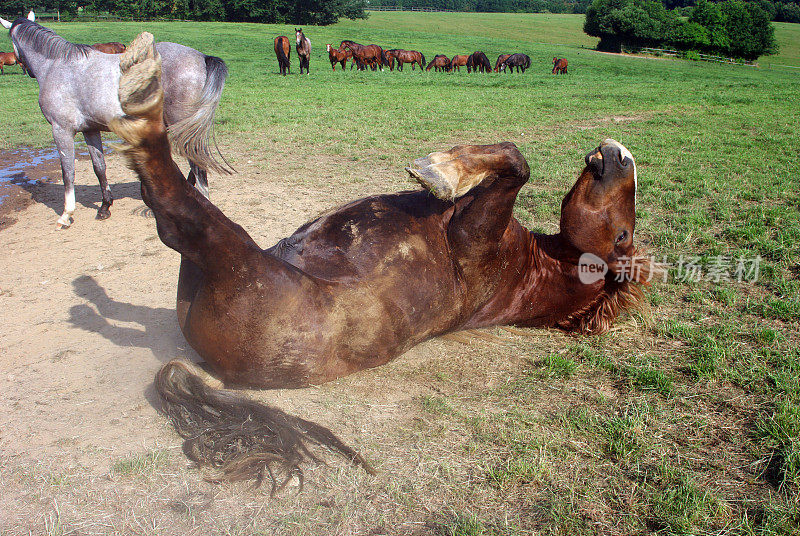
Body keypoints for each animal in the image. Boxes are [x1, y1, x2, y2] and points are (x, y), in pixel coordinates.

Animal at [1, 12, 230, 226]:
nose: (27, 71)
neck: (57, 66)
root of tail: (201, 57)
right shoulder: (90, 129)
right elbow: (99, 167)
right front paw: (105, 206)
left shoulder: (61, 130)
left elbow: (68, 171)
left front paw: (66, 214)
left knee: (197, 166)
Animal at [111, 33, 648, 486]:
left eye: (622, 234)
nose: (619, 153)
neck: (523, 272)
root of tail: (204, 362)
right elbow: (514, 160)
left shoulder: (476, 236)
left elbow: (516, 162)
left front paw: (440, 169)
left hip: (234, 261)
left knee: (175, 211)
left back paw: (141, 89)